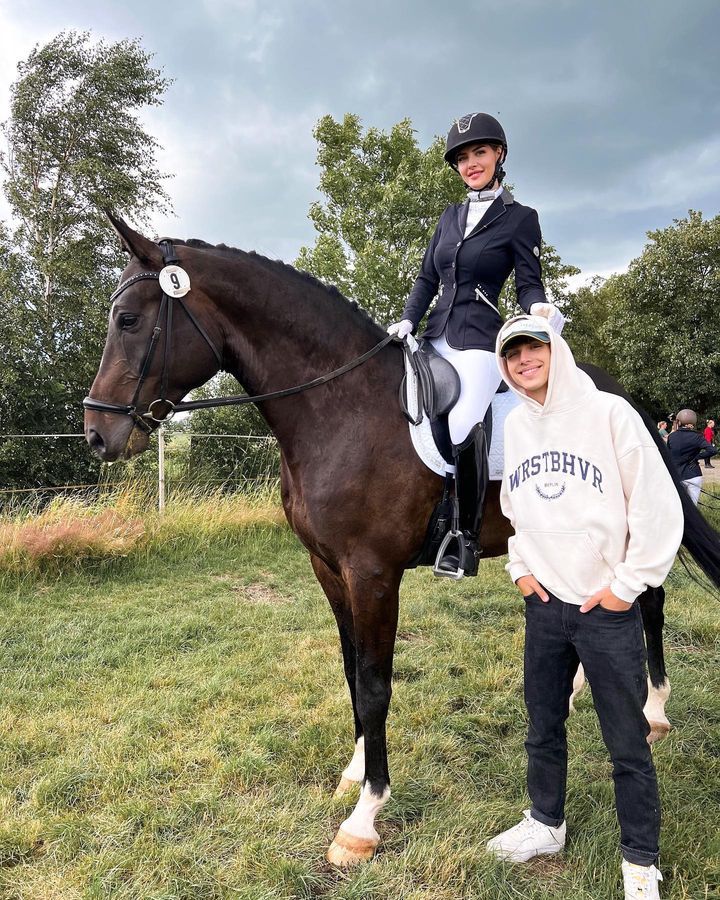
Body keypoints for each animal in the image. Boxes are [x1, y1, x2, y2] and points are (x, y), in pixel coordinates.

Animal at [84, 214, 720, 868]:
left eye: (127, 320)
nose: (97, 434)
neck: (340, 406)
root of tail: (626, 398)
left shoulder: (372, 572)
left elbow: (375, 684)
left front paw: (363, 819)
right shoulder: (328, 568)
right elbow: (351, 670)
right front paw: (354, 770)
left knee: (648, 600)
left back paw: (654, 713)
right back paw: (574, 694)